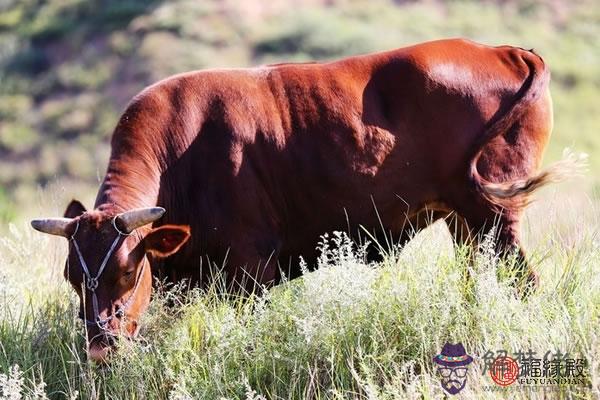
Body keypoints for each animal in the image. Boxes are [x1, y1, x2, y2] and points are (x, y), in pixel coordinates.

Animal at [31, 39, 568, 360]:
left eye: (127, 272)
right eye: (72, 277)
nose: (99, 347)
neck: (180, 152)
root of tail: (505, 50)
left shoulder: (251, 268)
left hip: (497, 215)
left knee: (524, 281)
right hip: (467, 221)